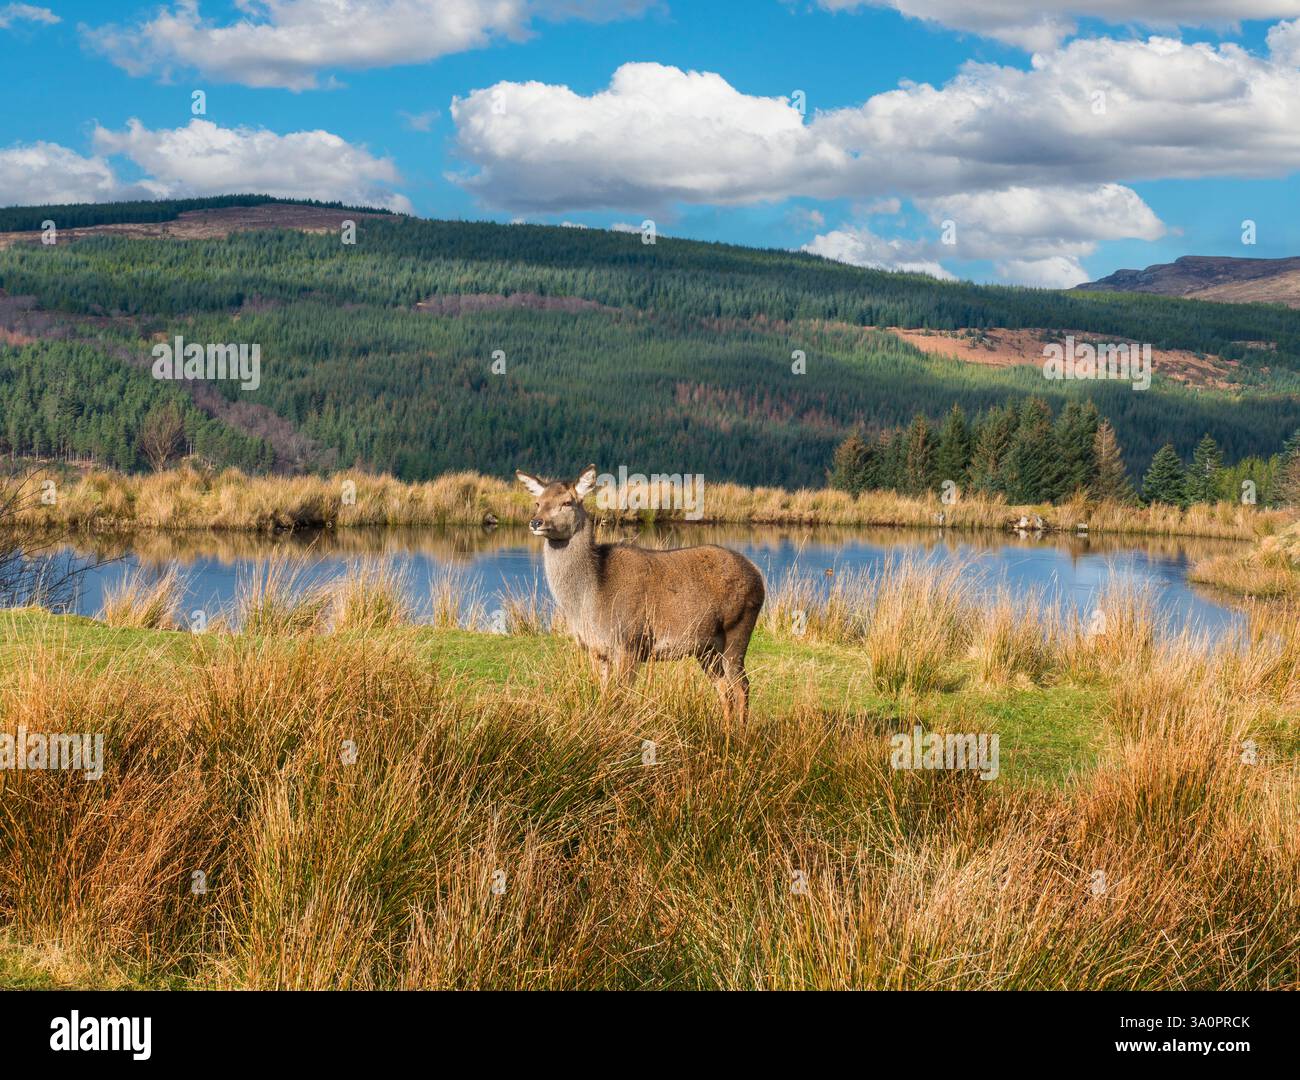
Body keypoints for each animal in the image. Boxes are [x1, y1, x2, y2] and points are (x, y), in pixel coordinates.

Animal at [516, 464, 765, 722]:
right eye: (538, 502)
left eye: (567, 502)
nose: (536, 522)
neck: (588, 598)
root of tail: (758, 577)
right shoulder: (596, 650)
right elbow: (604, 697)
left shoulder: (630, 642)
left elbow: (621, 699)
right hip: (706, 648)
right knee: (724, 688)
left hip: (738, 627)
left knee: (742, 685)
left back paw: (740, 732)